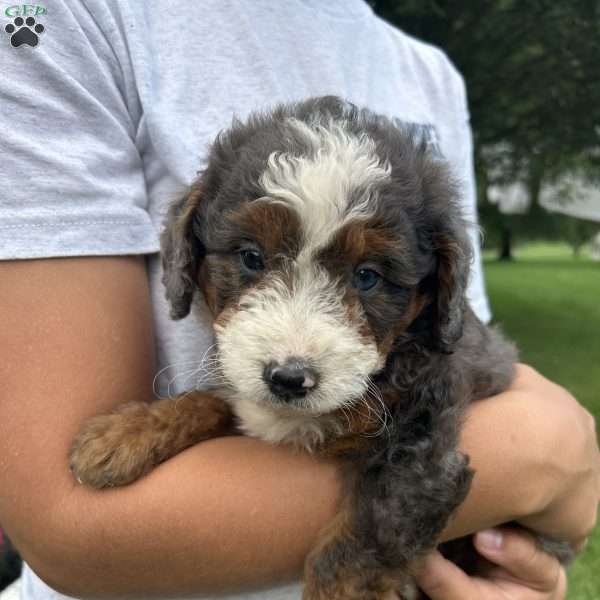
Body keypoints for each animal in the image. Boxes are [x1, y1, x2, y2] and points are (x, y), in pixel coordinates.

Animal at [70, 96, 572, 596]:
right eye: (251, 257)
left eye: (367, 276)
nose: (288, 379)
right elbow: (211, 400)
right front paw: (126, 432)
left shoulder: (422, 449)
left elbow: (361, 548)